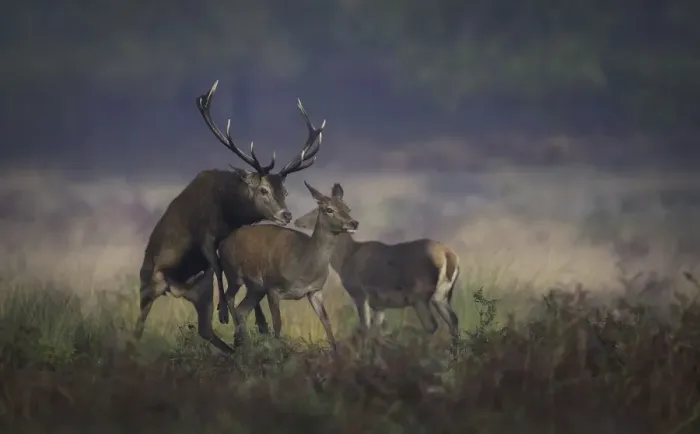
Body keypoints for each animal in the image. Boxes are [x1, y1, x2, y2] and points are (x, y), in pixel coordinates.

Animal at [133, 80, 326, 354]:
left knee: (204, 329)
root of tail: (174, 288)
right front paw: (225, 312)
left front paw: (260, 323)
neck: (229, 212)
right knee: (138, 327)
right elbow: (217, 266)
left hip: (199, 289)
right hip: (147, 284)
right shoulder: (204, 234)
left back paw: (233, 347)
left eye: (285, 191)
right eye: (263, 190)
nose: (286, 214)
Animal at [217, 182, 358, 351]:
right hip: (234, 275)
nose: (354, 223)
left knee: (241, 310)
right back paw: (241, 344)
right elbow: (278, 323)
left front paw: (336, 354)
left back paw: (243, 344)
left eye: (348, 208)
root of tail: (221, 244)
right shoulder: (274, 288)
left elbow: (326, 321)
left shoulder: (315, 290)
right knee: (231, 300)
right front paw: (277, 353)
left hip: (256, 288)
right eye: (329, 209)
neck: (303, 264)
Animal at [244, 196, 462, 343]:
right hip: (442, 296)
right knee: (453, 321)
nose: (296, 220)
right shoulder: (379, 304)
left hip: (420, 297)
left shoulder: (359, 293)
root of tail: (450, 256)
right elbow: (375, 332)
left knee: (433, 326)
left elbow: (364, 329)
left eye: (321, 209)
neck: (346, 259)